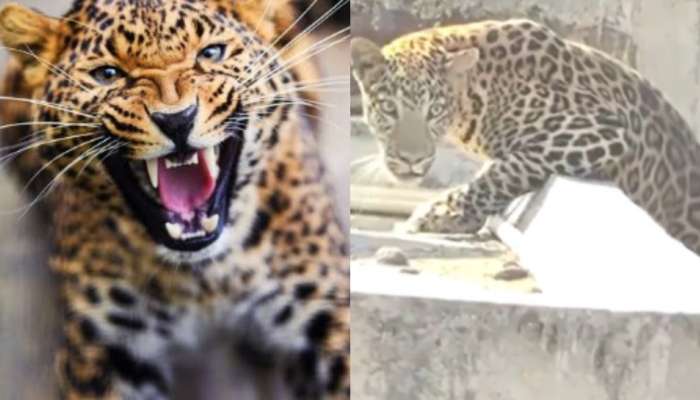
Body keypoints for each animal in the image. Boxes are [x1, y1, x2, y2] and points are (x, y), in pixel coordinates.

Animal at [0, 0, 349, 399]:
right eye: (108, 74)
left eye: (211, 53)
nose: (177, 120)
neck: (208, 276)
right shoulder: (105, 349)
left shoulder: (328, 315)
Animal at [351, 19, 700, 258]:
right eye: (389, 108)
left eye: (434, 110)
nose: (412, 159)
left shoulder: (601, 129)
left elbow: (505, 171)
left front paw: (444, 214)